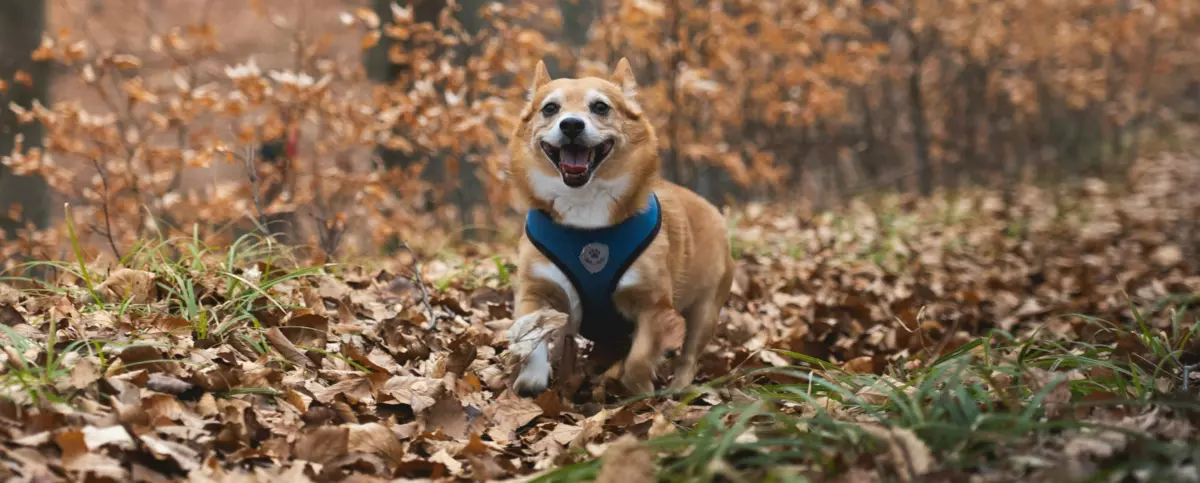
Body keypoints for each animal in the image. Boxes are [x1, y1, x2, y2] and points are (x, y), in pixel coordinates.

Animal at [504, 58, 729, 398]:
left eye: (600, 107)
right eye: (550, 108)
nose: (572, 125)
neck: (585, 206)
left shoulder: (652, 305)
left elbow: (639, 359)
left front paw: (640, 388)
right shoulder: (535, 292)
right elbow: (532, 339)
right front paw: (532, 381)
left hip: (705, 311)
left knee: (689, 357)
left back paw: (677, 388)